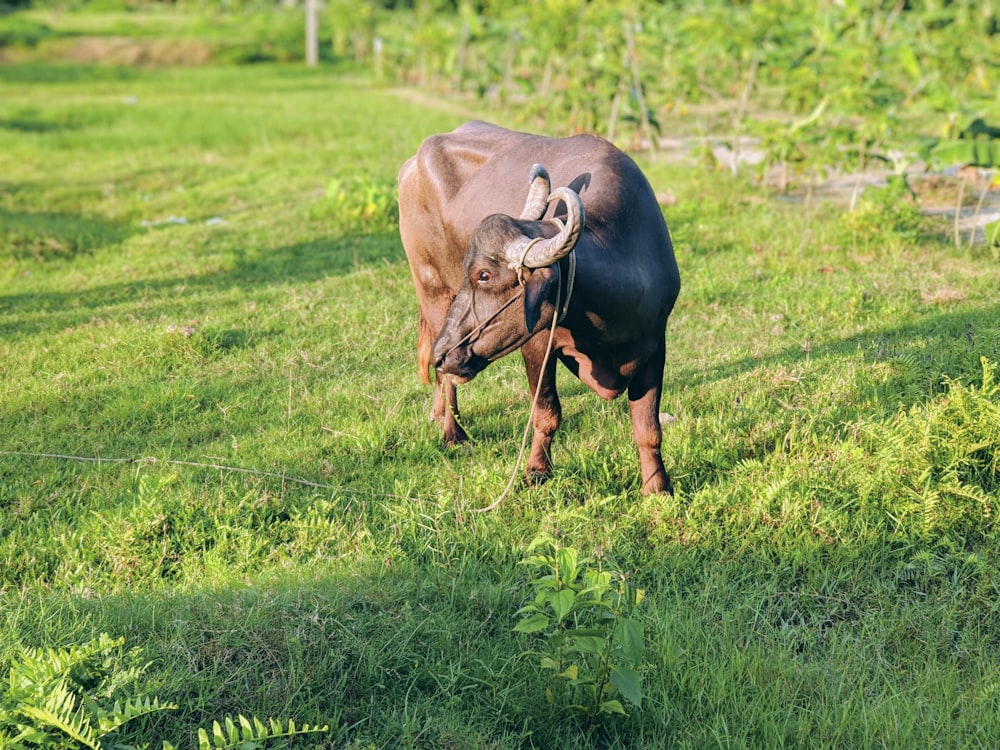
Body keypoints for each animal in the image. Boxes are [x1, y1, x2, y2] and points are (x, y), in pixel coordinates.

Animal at [398, 120, 680, 496]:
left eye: (483, 275)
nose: (445, 352)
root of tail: (411, 165)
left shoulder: (654, 346)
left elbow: (647, 427)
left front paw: (657, 487)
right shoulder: (536, 345)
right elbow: (547, 413)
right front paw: (536, 471)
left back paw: (438, 411)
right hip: (432, 290)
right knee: (445, 376)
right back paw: (452, 432)